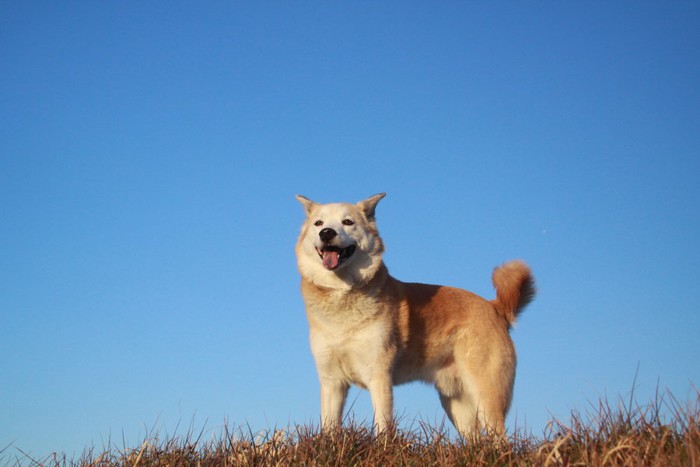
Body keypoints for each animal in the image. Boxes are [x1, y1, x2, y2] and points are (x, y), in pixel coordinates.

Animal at [292, 194, 532, 438]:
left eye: (348, 222)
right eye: (319, 223)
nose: (326, 233)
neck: (342, 294)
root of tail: (495, 307)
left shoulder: (379, 376)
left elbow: (382, 424)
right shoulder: (332, 381)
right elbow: (329, 427)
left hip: (486, 397)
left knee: (499, 439)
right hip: (457, 406)